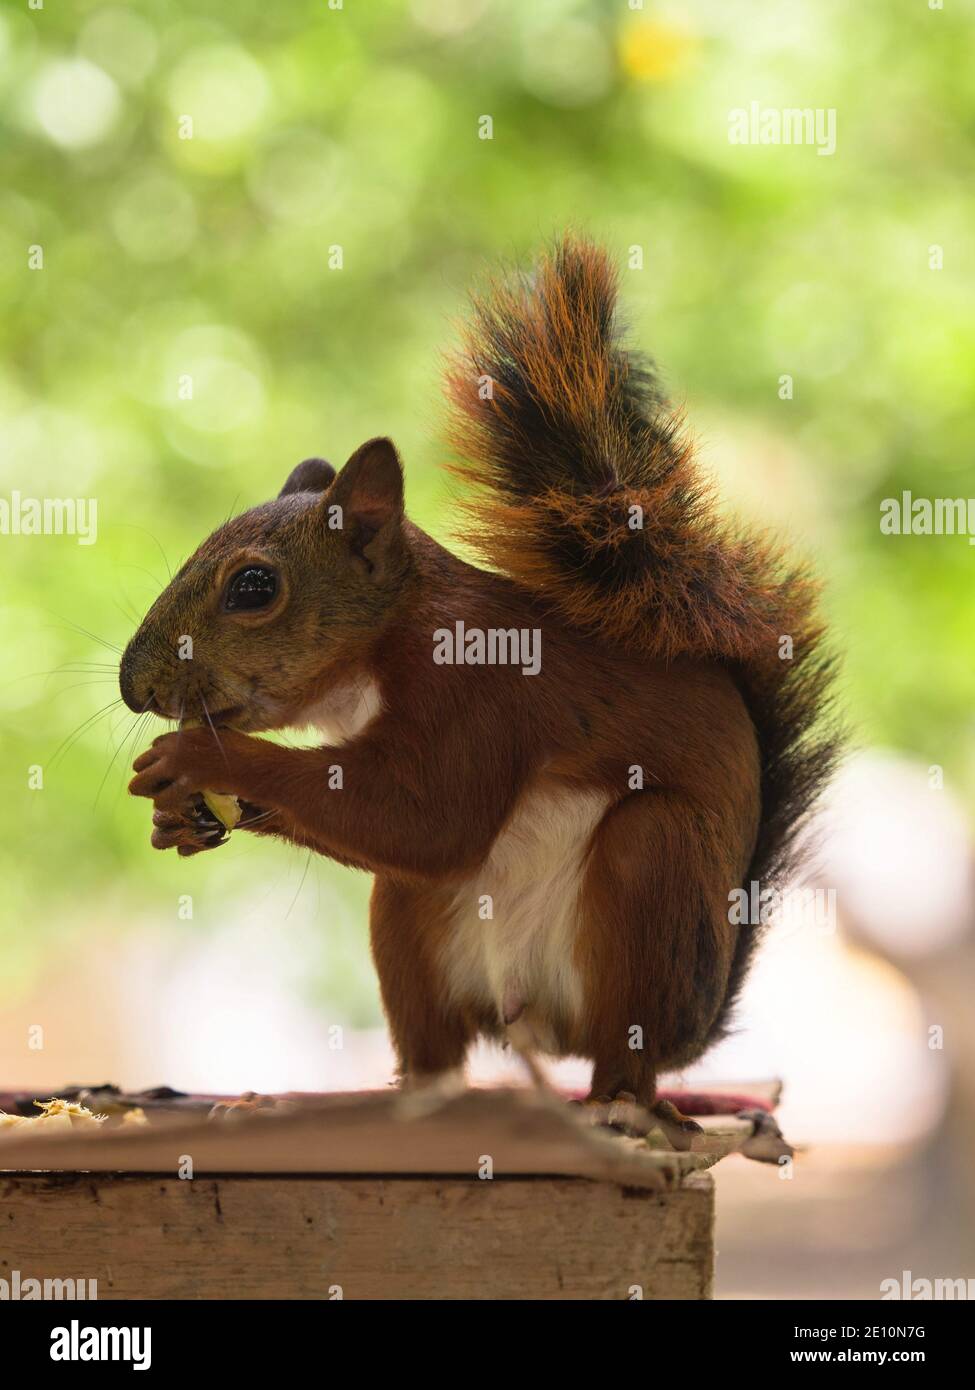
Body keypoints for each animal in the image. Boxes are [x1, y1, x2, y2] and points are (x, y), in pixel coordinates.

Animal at [121, 233, 834, 1134]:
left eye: (253, 588)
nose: (133, 686)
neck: (386, 646)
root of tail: (533, 1019)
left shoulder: (480, 695)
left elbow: (432, 820)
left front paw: (207, 762)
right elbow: (401, 829)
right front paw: (176, 816)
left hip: (653, 872)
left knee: (626, 1050)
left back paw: (617, 1106)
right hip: (409, 922)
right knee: (435, 1056)